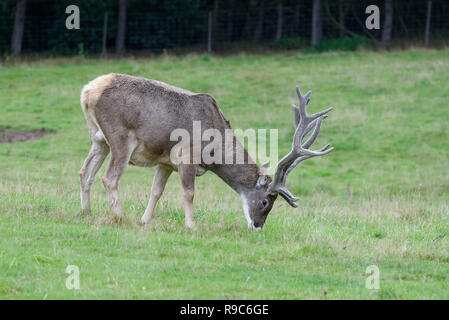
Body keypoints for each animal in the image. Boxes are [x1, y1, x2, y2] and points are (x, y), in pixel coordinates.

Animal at [79, 74, 332, 230]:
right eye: (265, 202)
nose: (257, 227)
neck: (214, 150)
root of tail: (88, 91)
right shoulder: (186, 156)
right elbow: (189, 192)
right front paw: (191, 225)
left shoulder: (165, 162)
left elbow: (156, 191)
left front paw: (145, 221)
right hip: (121, 138)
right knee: (109, 178)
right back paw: (121, 218)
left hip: (97, 138)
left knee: (85, 172)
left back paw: (86, 212)